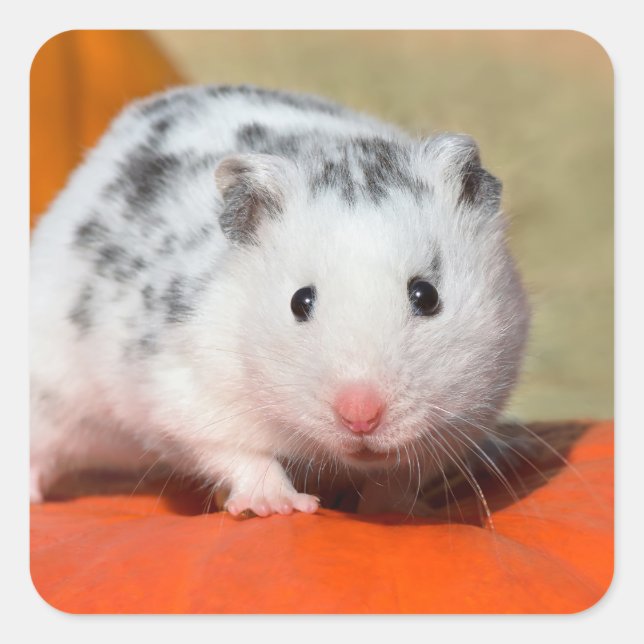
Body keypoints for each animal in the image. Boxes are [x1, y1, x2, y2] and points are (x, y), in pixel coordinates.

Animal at [30, 84, 530, 517]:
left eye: (426, 296)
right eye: (299, 301)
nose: (360, 418)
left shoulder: (472, 409)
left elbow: (398, 478)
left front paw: (401, 511)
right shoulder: (189, 392)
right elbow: (239, 453)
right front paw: (281, 506)